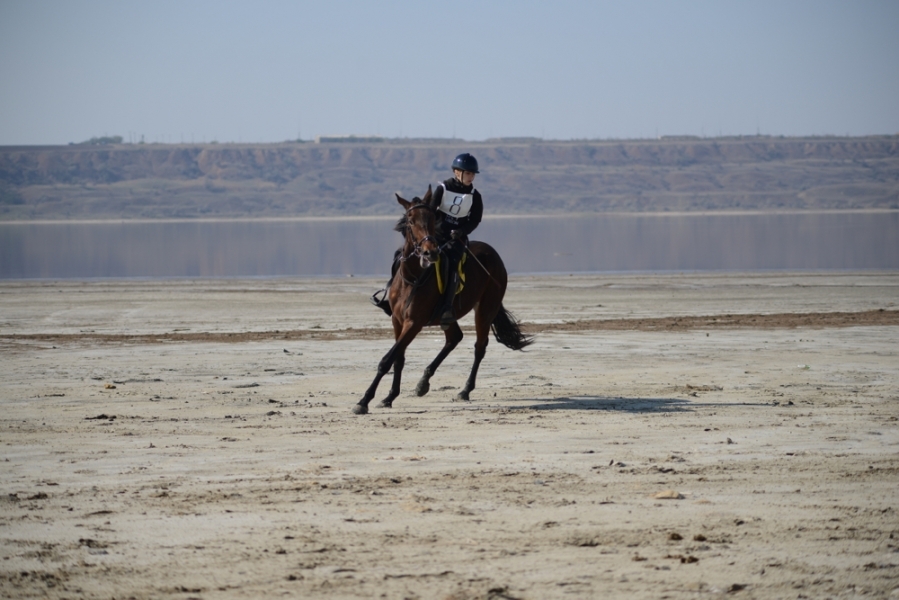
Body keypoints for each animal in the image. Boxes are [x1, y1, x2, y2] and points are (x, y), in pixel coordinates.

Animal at [354, 188, 536, 418]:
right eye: (411, 221)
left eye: (432, 219)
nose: (430, 252)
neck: (413, 277)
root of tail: (493, 253)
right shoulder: (397, 320)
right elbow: (398, 359)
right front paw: (389, 397)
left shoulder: (414, 323)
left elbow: (387, 360)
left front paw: (364, 401)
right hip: (448, 316)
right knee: (454, 338)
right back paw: (423, 383)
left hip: (485, 309)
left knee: (479, 347)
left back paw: (465, 390)